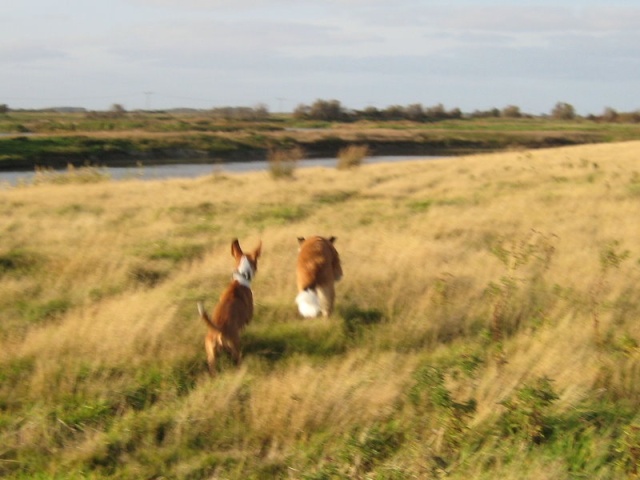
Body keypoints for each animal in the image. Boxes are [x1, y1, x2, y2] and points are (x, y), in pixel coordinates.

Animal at [199, 238, 262, 376]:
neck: (241, 278)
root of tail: (218, 330)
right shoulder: (249, 315)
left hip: (211, 355)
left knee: (213, 369)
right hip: (235, 345)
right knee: (237, 359)